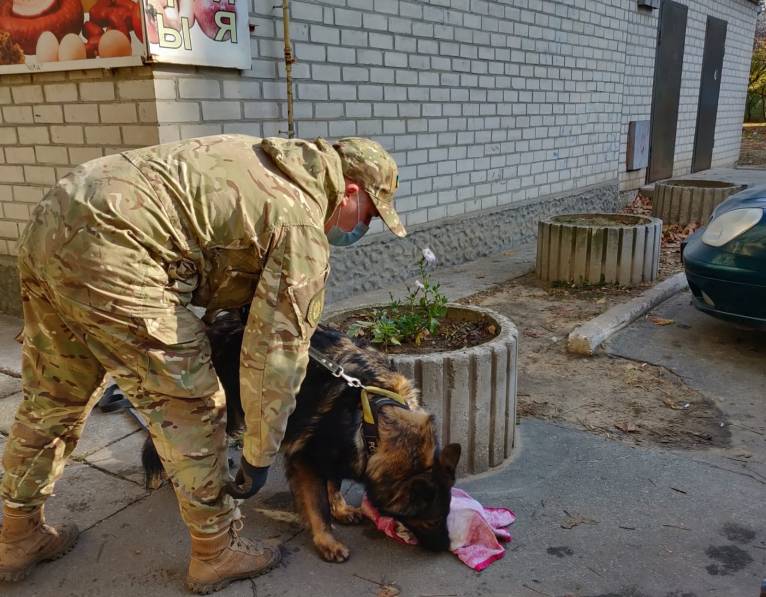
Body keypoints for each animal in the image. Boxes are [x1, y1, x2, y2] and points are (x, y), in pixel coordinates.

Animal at [143, 310, 462, 560]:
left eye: (447, 515)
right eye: (432, 521)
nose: (445, 548)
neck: (374, 421)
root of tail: (213, 324)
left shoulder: (336, 453)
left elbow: (334, 483)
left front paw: (341, 509)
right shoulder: (305, 460)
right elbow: (317, 507)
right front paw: (327, 541)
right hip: (224, 409)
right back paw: (162, 473)